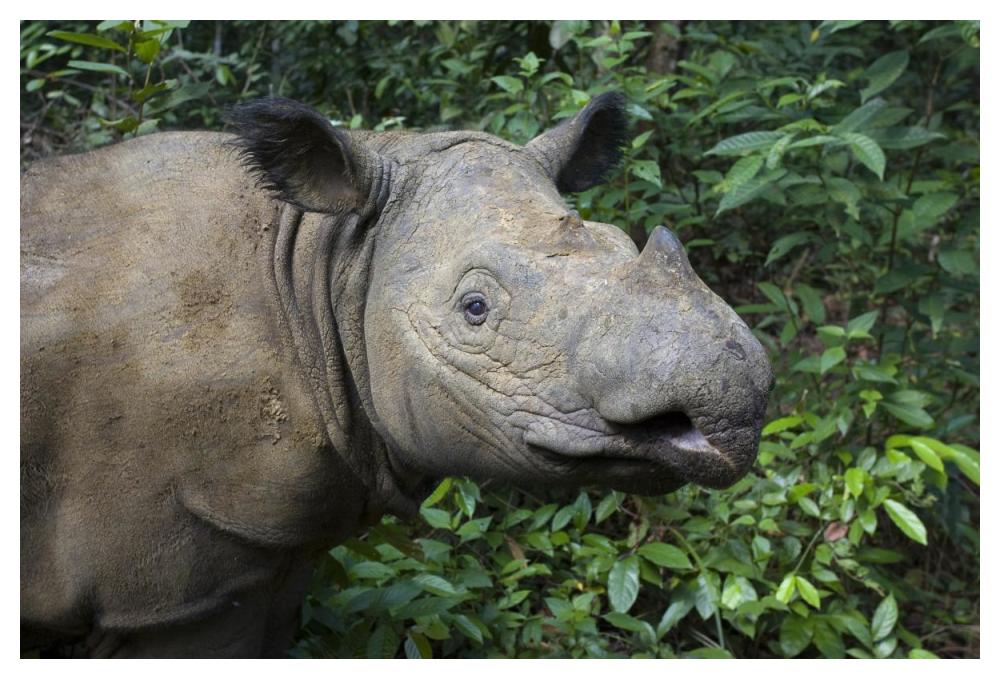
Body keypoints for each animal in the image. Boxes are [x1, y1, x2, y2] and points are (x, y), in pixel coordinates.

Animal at [20, 92, 772, 657]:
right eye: (474, 308)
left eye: (622, 244)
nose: (732, 405)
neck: (326, 261)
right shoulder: (177, 589)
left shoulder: (274, 542)